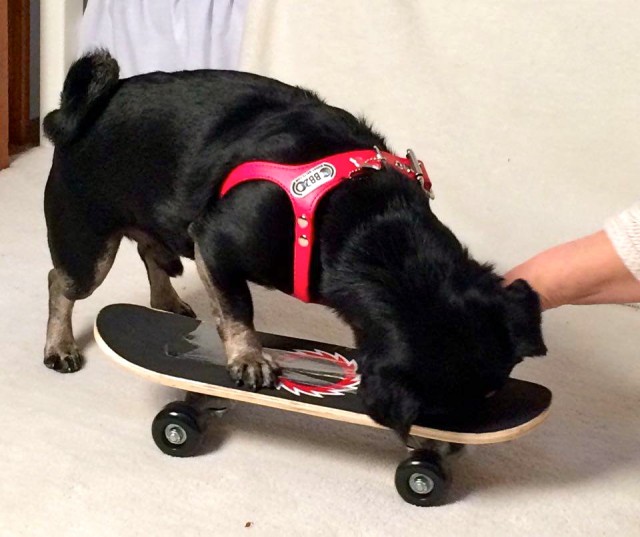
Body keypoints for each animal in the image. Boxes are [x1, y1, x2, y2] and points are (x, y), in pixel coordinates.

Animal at [43, 50, 544, 436]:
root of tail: (78, 113)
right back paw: (60, 346)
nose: (463, 433)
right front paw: (249, 357)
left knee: (151, 252)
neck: (369, 224)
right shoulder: (216, 244)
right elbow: (238, 310)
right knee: (60, 284)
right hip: (89, 250)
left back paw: (165, 302)